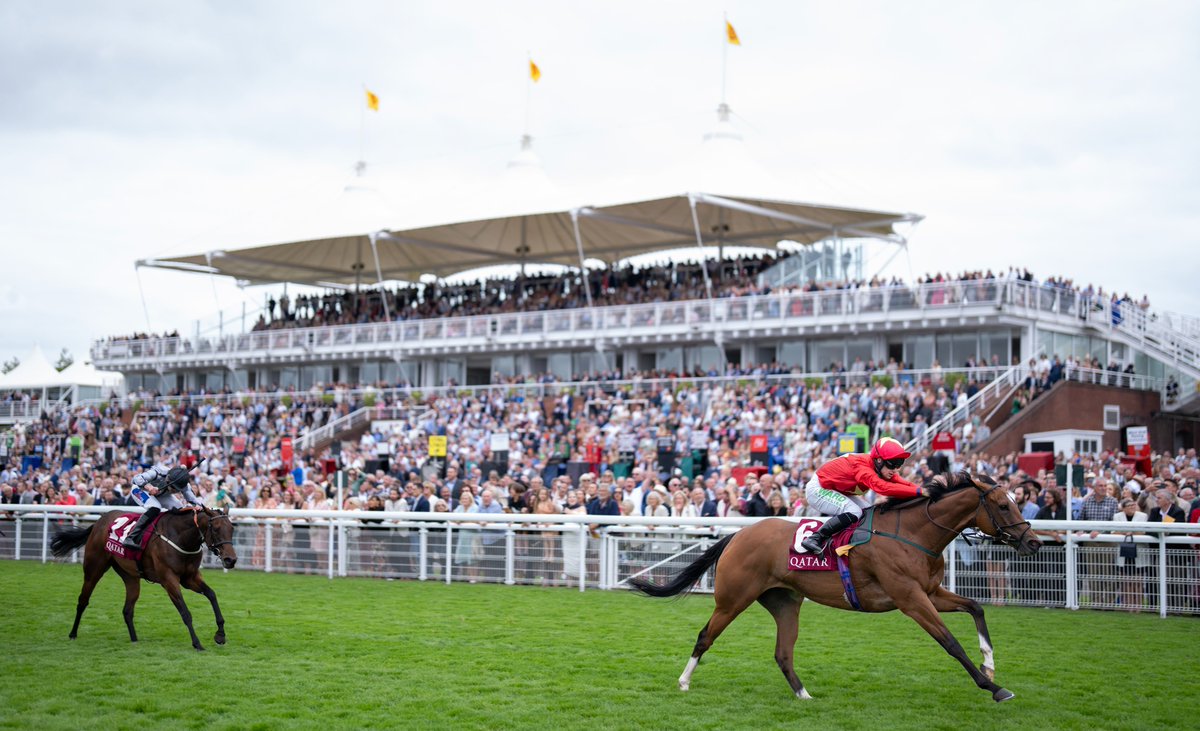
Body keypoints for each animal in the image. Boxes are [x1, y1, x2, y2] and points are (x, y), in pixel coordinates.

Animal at [51, 506, 236, 648]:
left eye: (232, 529)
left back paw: (134, 640)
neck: (181, 537)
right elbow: (185, 612)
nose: (231, 560)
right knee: (83, 600)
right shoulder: (169, 580)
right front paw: (197, 643)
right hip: (94, 569)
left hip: (130, 576)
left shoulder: (189, 578)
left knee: (127, 610)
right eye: (216, 529)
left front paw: (220, 635)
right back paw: (73, 633)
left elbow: (212, 595)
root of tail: (98, 522)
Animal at [628, 472, 1041, 700]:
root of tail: (738, 535)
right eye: (1004, 506)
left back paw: (804, 694)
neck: (913, 533)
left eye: (1017, 502)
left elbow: (976, 606)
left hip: (785, 602)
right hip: (733, 599)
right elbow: (951, 643)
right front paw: (994, 688)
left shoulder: (931, 593)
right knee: (705, 636)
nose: (1034, 542)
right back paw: (683, 681)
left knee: (783, 653)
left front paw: (989, 663)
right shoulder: (910, 598)